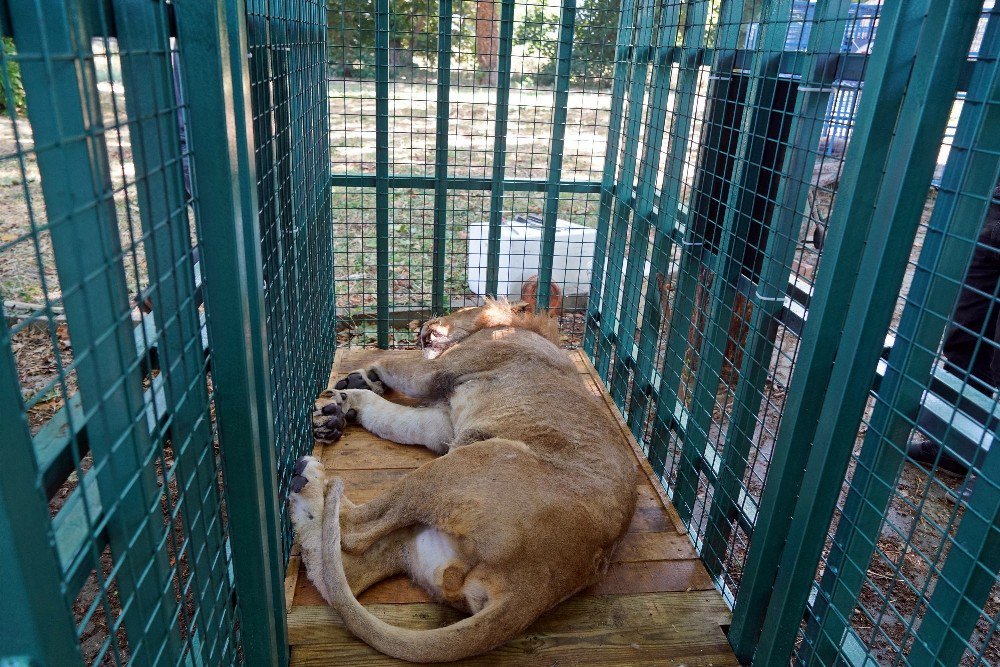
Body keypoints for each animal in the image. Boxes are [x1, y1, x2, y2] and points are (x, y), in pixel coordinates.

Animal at [290, 302, 636, 664]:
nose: (423, 326)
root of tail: (533, 587)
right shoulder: (439, 422)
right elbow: (388, 414)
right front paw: (347, 399)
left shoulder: (436, 371)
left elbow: (392, 362)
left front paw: (357, 383)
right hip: (420, 541)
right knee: (344, 576)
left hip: (474, 458)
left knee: (353, 528)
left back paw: (311, 479)